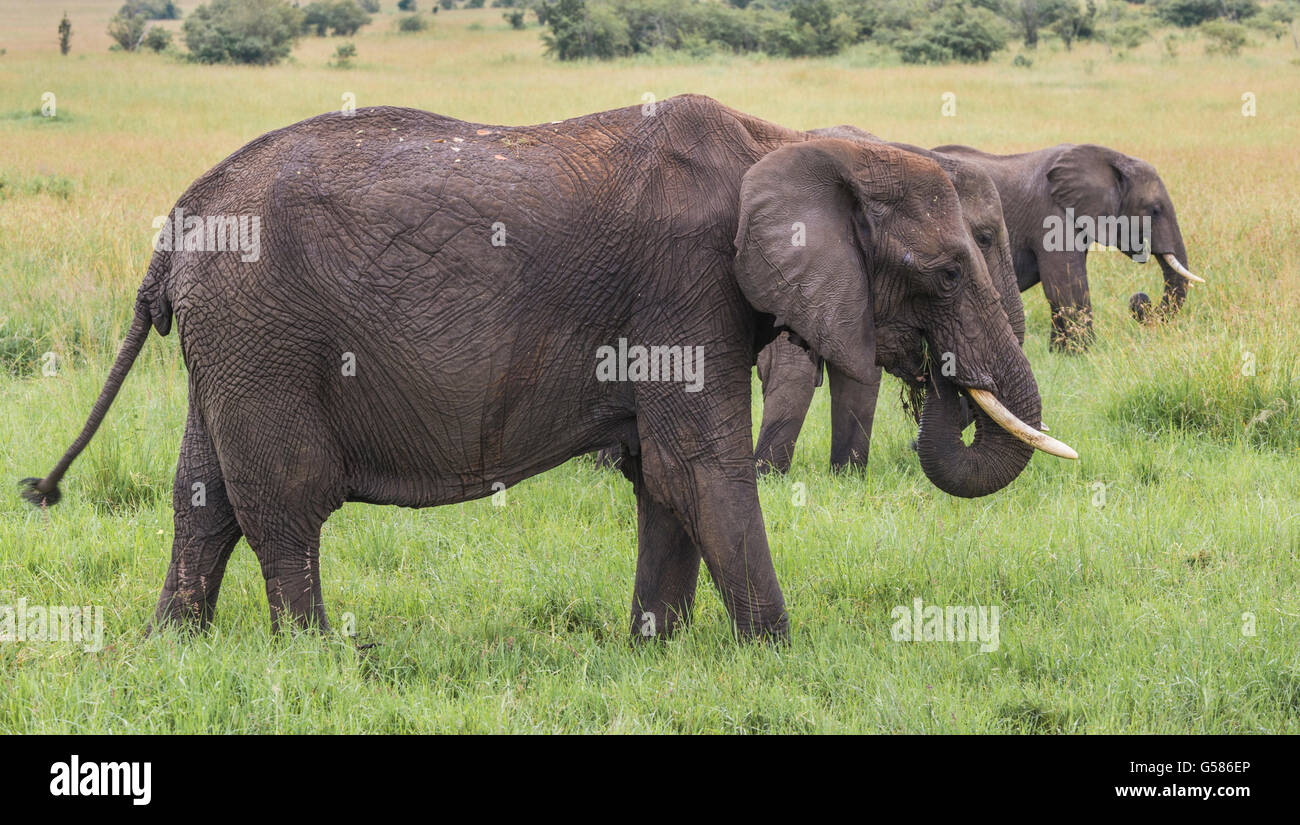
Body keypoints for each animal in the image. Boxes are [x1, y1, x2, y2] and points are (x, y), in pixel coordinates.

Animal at [752, 125, 1027, 475]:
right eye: (985, 238)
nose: (911, 446)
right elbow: (795, 371)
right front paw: (767, 475)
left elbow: (859, 374)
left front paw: (847, 477)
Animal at [931, 142, 1203, 351]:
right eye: (1155, 211)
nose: (1140, 299)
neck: (1111, 158)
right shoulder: (1050, 214)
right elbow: (1066, 284)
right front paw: (1085, 354)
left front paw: (1061, 354)